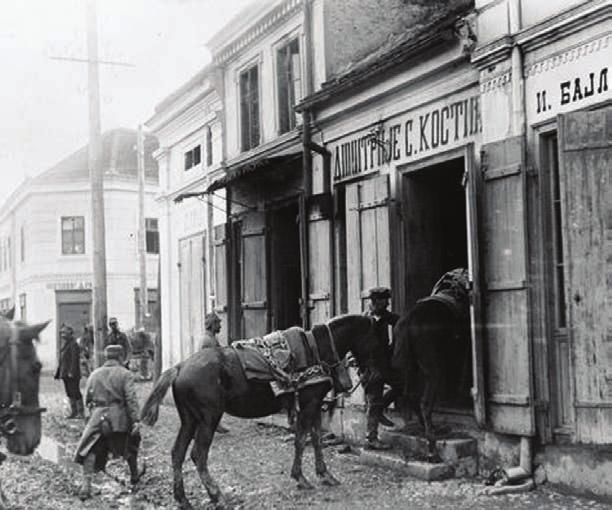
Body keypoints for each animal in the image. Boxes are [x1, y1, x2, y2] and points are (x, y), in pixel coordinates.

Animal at [141, 314, 376, 510]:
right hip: (209, 419)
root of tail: (180, 367)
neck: (315, 349)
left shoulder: (316, 404)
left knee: (177, 453)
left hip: (190, 420)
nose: (372, 374)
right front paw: (300, 477)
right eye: (377, 337)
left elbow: (316, 439)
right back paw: (217, 495)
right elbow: (301, 440)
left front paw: (325, 474)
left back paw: (182, 499)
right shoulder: (309, 404)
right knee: (198, 454)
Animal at [390, 268, 470, 440]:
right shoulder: (460, 351)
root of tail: (409, 320)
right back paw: (431, 431)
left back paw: (423, 426)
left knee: (411, 396)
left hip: (410, 368)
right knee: (425, 402)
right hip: (434, 370)